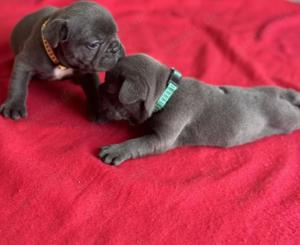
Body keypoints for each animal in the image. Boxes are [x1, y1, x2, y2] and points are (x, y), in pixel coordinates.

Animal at [98, 53, 300, 165]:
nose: (98, 88)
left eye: (110, 91)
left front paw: (116, 150)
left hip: (287, 118)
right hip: (271, 90)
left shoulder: (161, 139)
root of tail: (283, 98)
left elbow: (137, 143)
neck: (166, 91)